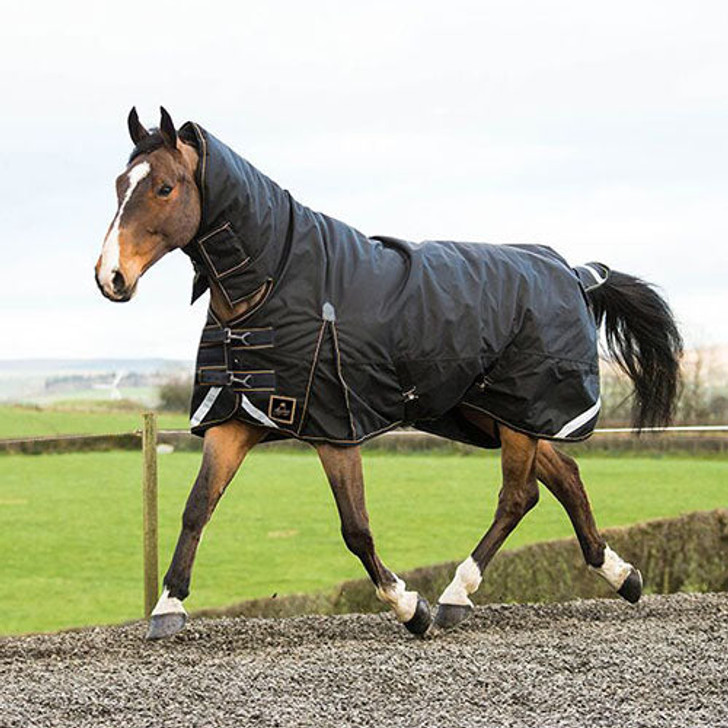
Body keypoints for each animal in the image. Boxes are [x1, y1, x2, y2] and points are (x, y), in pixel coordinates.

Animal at [92, 106, 684, 636]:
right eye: (121, 184)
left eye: (164, 187)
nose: (110, 277)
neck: (277, 280)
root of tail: (575, 272)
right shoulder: (235, 419)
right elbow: (197, 509)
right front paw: (167, 607)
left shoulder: (335, 427)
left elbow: (355, 528)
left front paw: (408, 606)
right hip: (494, 412)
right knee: (565, 475)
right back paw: (621, 575)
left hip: (521, 411)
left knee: (519, 497)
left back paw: (455, 595)